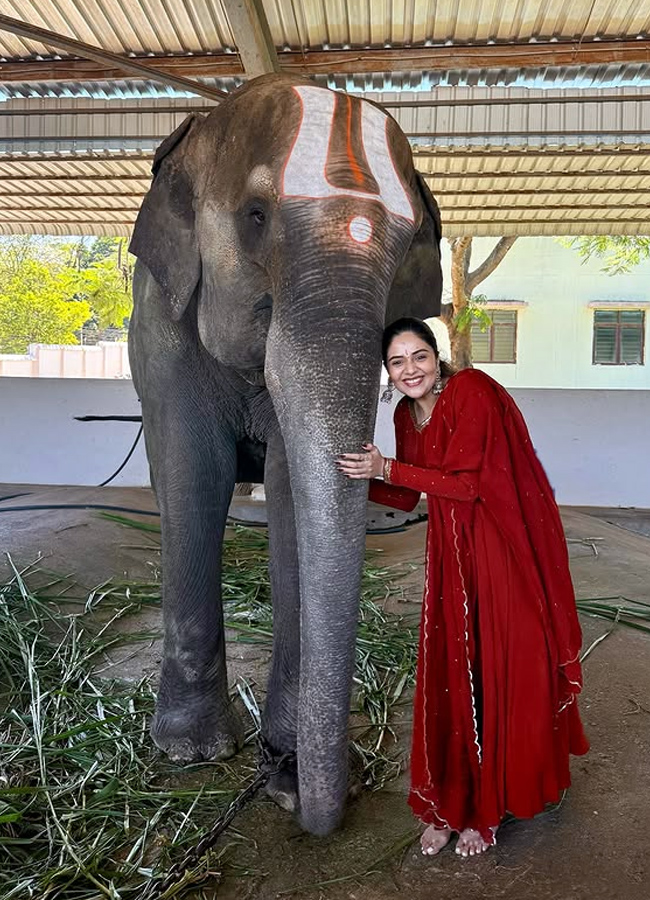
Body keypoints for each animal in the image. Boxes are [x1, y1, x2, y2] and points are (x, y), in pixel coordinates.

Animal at [126, 72, 440, 836]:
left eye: (410, 242)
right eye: (256, 216)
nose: (301, 793)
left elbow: (291, 486)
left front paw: (290, 774)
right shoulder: (163, 329)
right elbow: (194, 474)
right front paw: (190, 754)